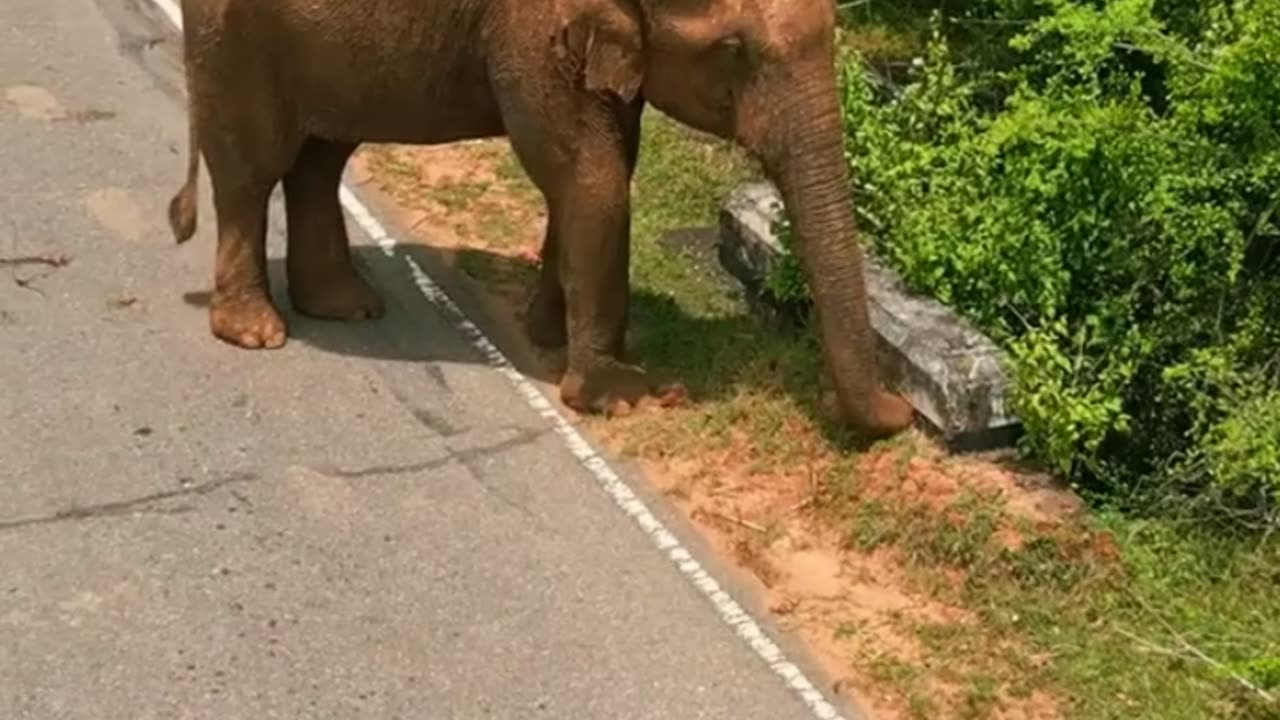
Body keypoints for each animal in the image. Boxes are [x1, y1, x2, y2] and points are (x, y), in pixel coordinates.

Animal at [166, 0, 916, 440]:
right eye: (736, 50)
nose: (904, 412)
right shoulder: (534, 23)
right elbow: (595, 180)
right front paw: (623, 396)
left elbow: (606, 167)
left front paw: (545, 334)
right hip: (235, 33)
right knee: (252, 165)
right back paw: (258, 333)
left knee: (321, 158)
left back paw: (346, 306)